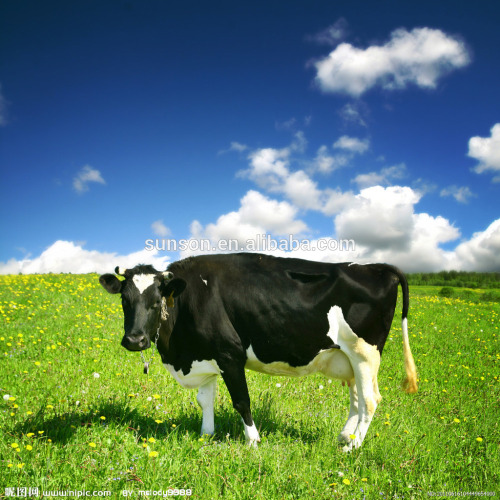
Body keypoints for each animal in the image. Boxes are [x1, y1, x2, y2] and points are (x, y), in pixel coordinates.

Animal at [98, 252, 418, 452]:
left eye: (156, 301)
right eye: (125, 300)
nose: (135, 340)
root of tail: (376, 267)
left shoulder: (230, 354)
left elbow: (242, 401)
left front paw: (253, 441)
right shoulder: (205, 356)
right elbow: (205, 401)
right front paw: (205, 436)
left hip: (364, 352)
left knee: (370, 400)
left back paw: (352, 447)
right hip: (347, 357)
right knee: (356, 399)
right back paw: (344, 437)